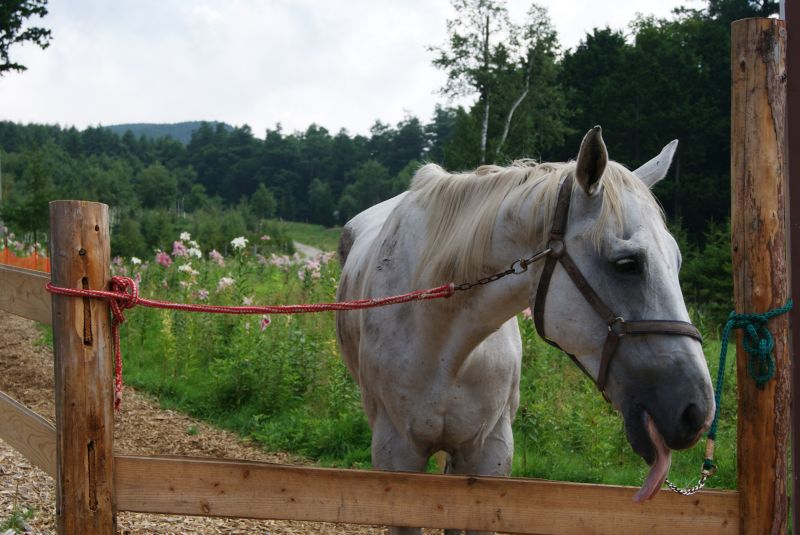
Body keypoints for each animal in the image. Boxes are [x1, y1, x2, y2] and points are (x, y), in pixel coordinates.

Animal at [335, 126, 714, 535]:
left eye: (677, 260)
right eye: (627, 264)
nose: (697, 411)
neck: (446, 345)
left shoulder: (488, 457)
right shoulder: (398, 460)